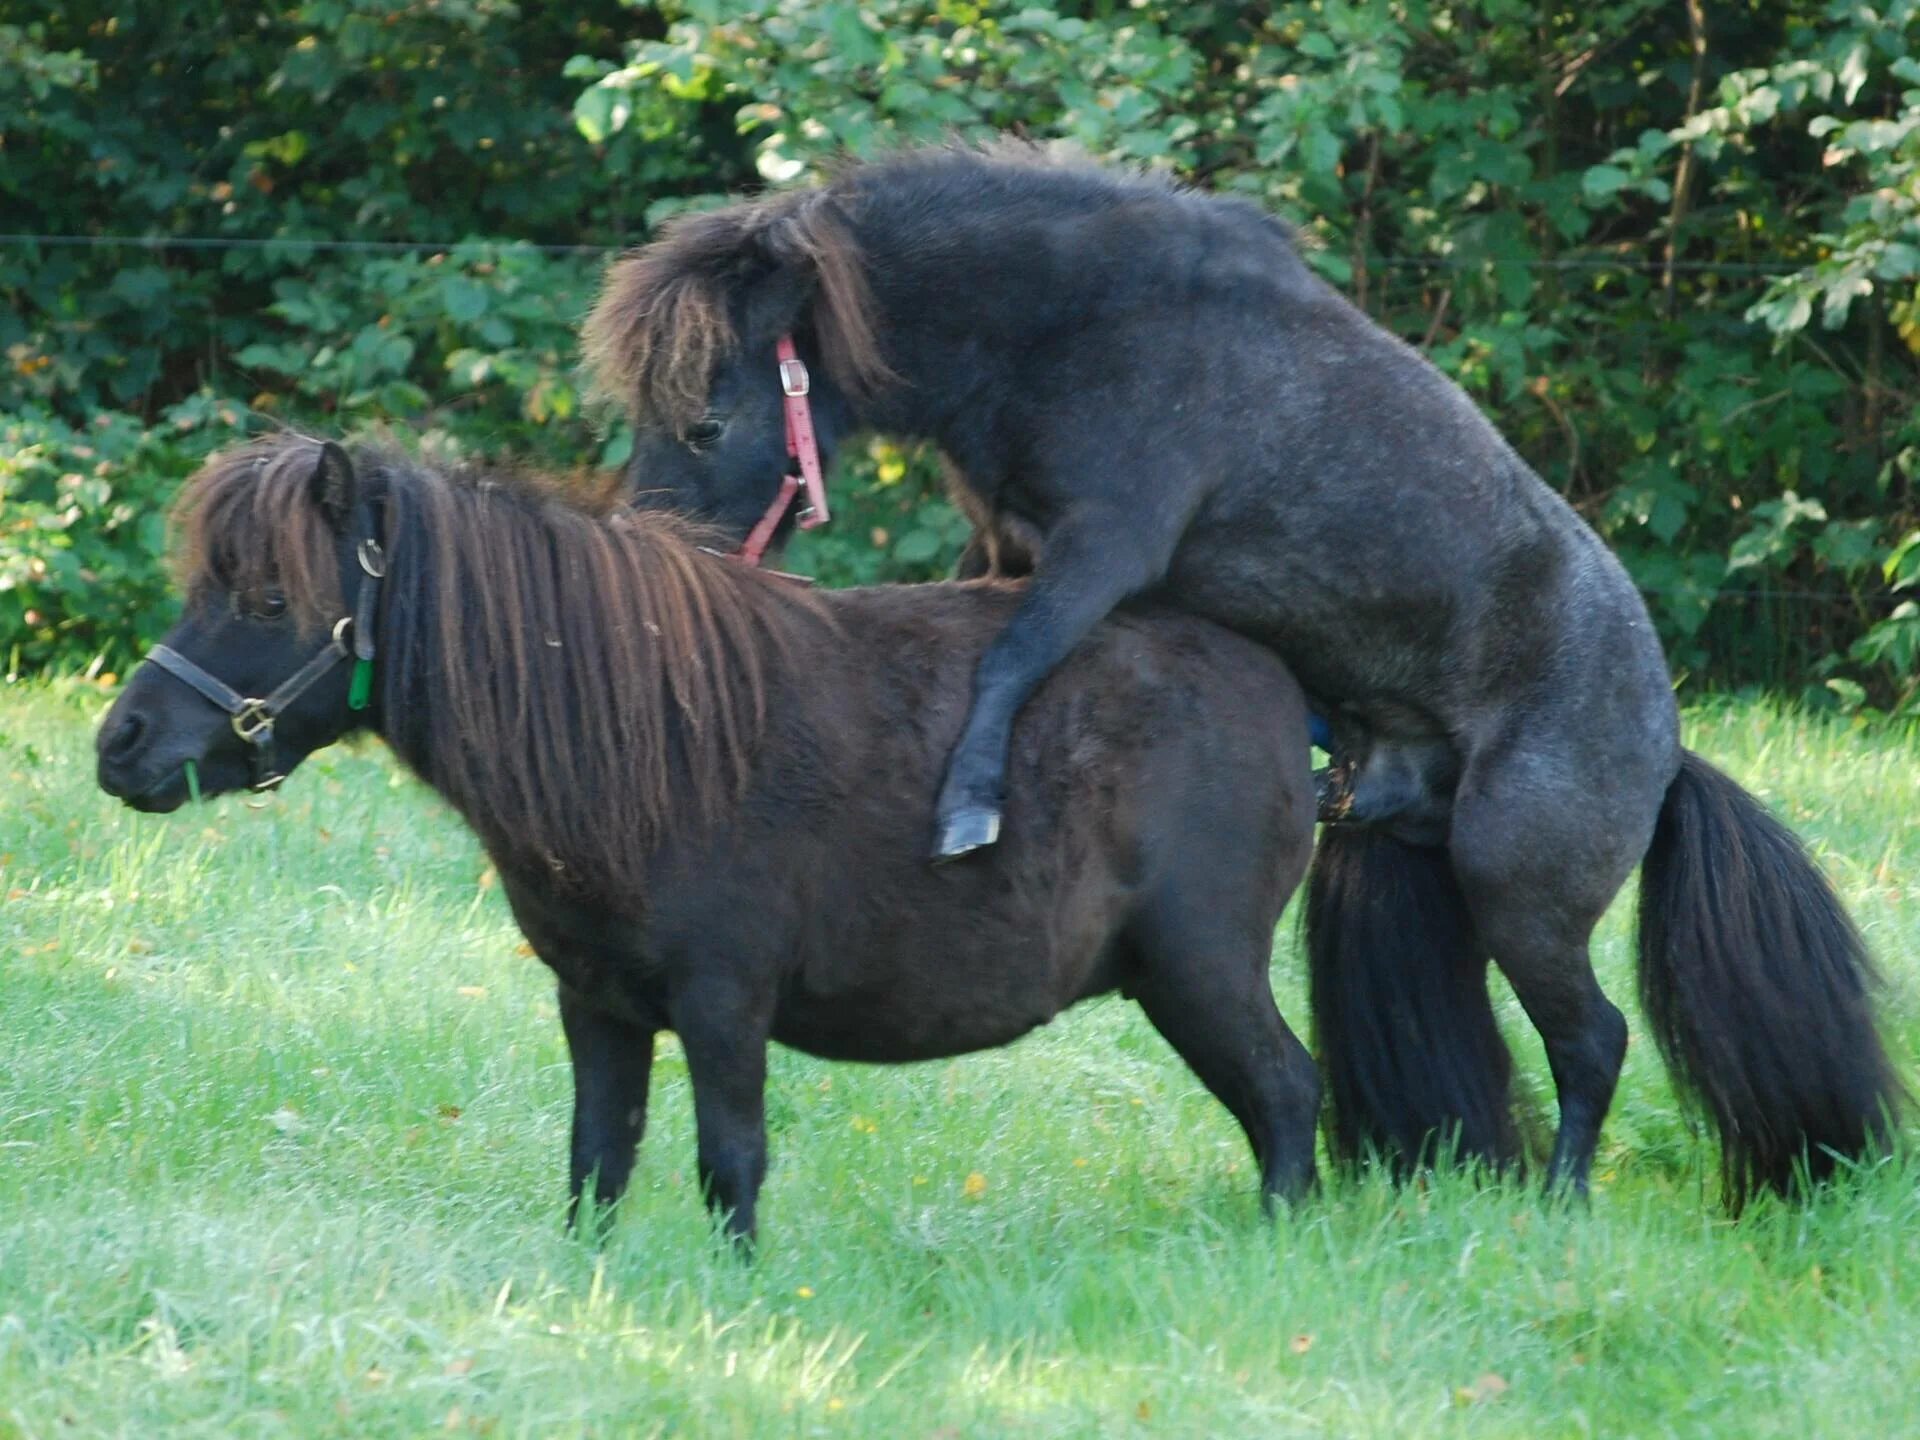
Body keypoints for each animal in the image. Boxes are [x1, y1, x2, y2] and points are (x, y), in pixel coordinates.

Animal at [97, 433, 1328, 1244]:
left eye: (268, 601)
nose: (122, 743)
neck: (642, 741)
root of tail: (1281, 687)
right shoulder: (595, 1005)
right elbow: (597, 1161)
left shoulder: (724, 1003)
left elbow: (729, 1164)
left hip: (1200, 970)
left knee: (1287, 1095)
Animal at [583, 144, 1904, 1205]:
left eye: (706, 422)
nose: (651, 579)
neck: (1072, 323)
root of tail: (1667, 746)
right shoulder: (1009, 546)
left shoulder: (1104, 550)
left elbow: (1011, 660)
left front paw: (967, 811)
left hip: (1521, 894)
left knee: (1596, 1044)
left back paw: (1560, 1204)